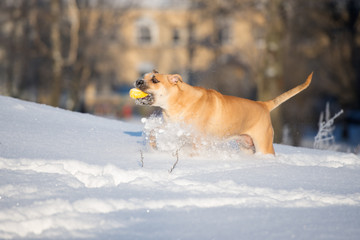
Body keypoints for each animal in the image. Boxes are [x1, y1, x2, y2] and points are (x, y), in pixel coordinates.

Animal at [135, 70, 312, 155]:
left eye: (155, 80)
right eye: (144, 76)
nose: (138, 81)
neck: (178, 101)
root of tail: (263, 105)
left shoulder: (197, 138)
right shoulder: (173, 127)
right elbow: (153, 130)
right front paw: (152, 146)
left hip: (264, 144)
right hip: (246, 146)